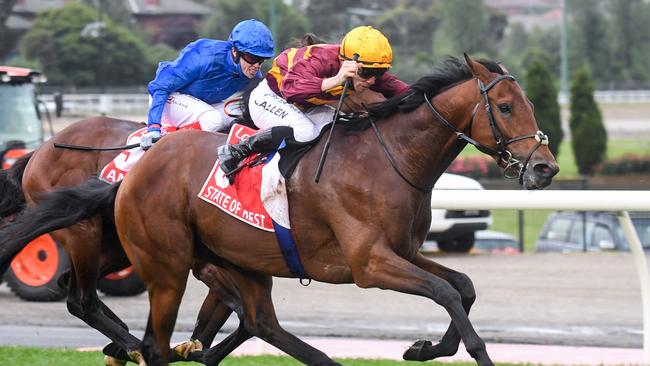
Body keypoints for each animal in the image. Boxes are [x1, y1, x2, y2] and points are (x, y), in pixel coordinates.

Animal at [0, 55, 556, 366]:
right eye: (505, 107)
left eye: (528, 104)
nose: (545, 167)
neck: (387, 158)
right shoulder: (370, 264)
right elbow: (447, 293)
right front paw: (465, 351)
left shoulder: (403, 251)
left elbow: (463, 287)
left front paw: (424, 348)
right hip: (136, 251)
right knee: (87, 301)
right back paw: (135, 344)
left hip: (226, 258)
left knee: (260, 322)